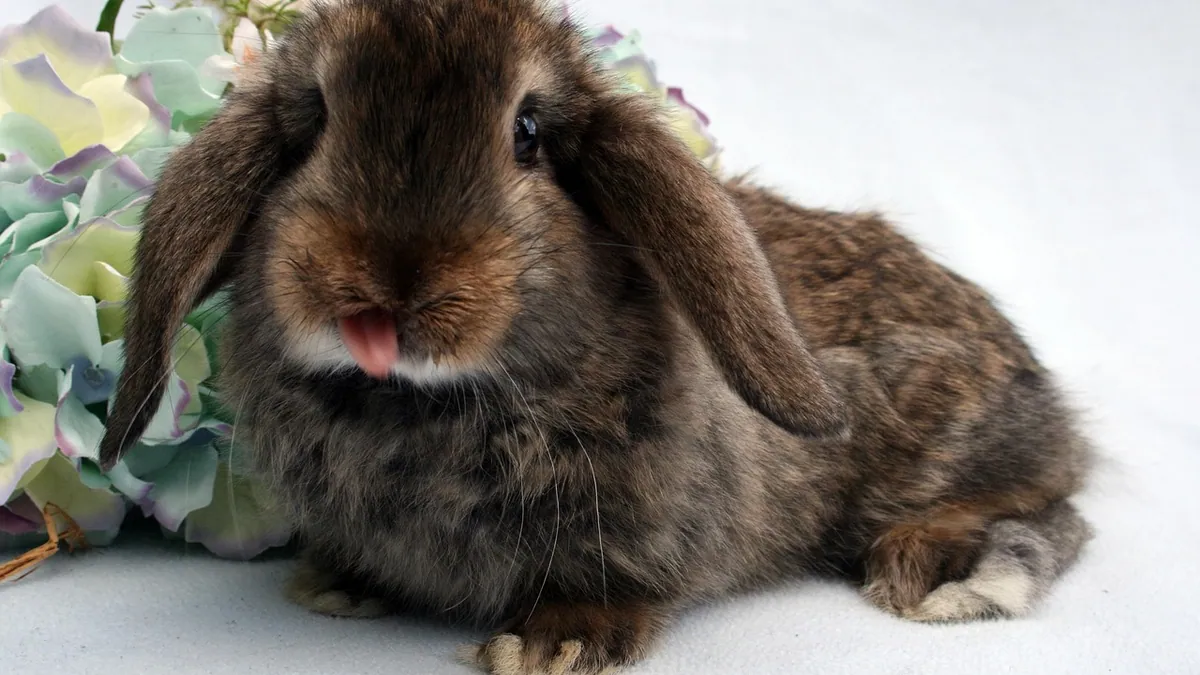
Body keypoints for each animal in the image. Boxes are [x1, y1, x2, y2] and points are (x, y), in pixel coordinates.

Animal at [98, 0, 1094, 673]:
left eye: (529, 132)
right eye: (313, 121)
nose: (383, 287)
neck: (415, 404)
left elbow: (615, 585)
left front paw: (550, 647)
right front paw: (338, 585)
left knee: (1055, 507)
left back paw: (939, 571)